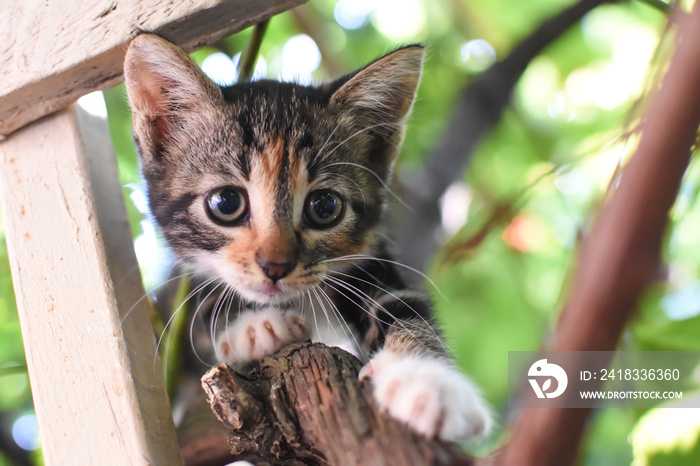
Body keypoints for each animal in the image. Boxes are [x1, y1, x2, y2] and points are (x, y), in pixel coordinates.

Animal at [121, 33, 492, 444]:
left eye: (325, 206)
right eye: (225, 203)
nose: (275, 267)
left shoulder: (372, 265)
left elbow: (405, 311)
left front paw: (429, 382)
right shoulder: (179, 290)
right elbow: (196, 312)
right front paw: (254, 327)